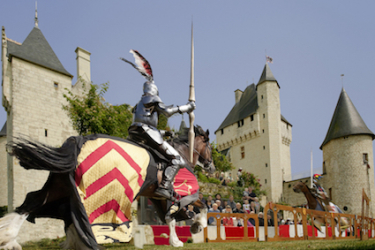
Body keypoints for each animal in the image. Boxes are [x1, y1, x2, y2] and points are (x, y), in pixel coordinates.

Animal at [0, 126, 214, 249]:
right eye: (210, 147)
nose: (211, 167)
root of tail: (75, 144)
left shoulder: (159, 197)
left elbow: (169, 218)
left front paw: (179, 238)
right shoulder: (180, 194)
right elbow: (201, 206)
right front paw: (196, 226)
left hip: (60, 186)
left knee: (33, 201)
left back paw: (9, 239)